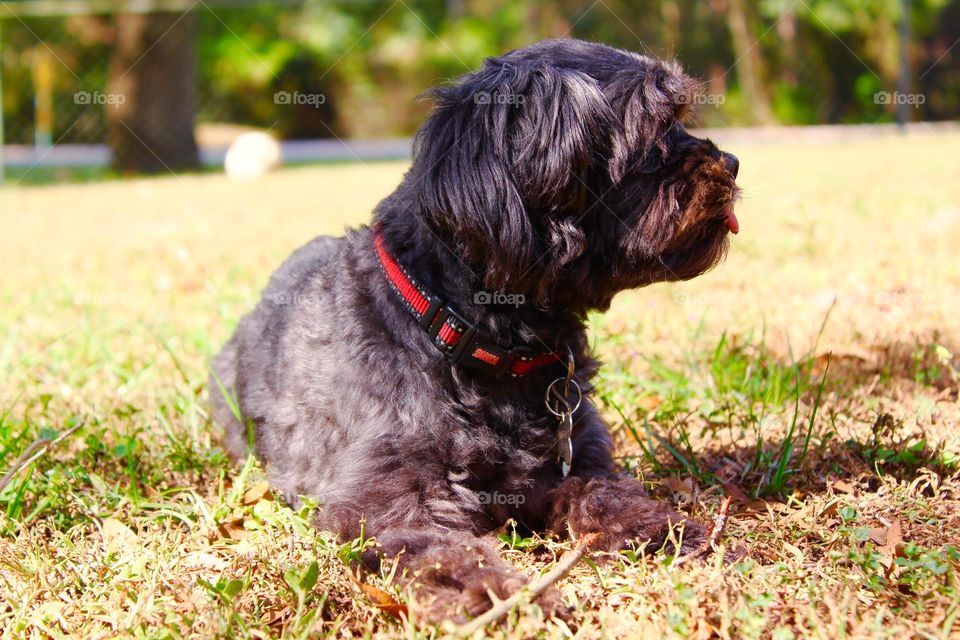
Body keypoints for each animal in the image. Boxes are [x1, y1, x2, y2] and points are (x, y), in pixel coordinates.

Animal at [212, 38, 744, 620]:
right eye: (654, 133)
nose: (732, 163)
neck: (470, 340)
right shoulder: (384, 500)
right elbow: (442, 551)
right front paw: (498, 594)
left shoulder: (577, 460)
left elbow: (610, 498)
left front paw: (670, 530)